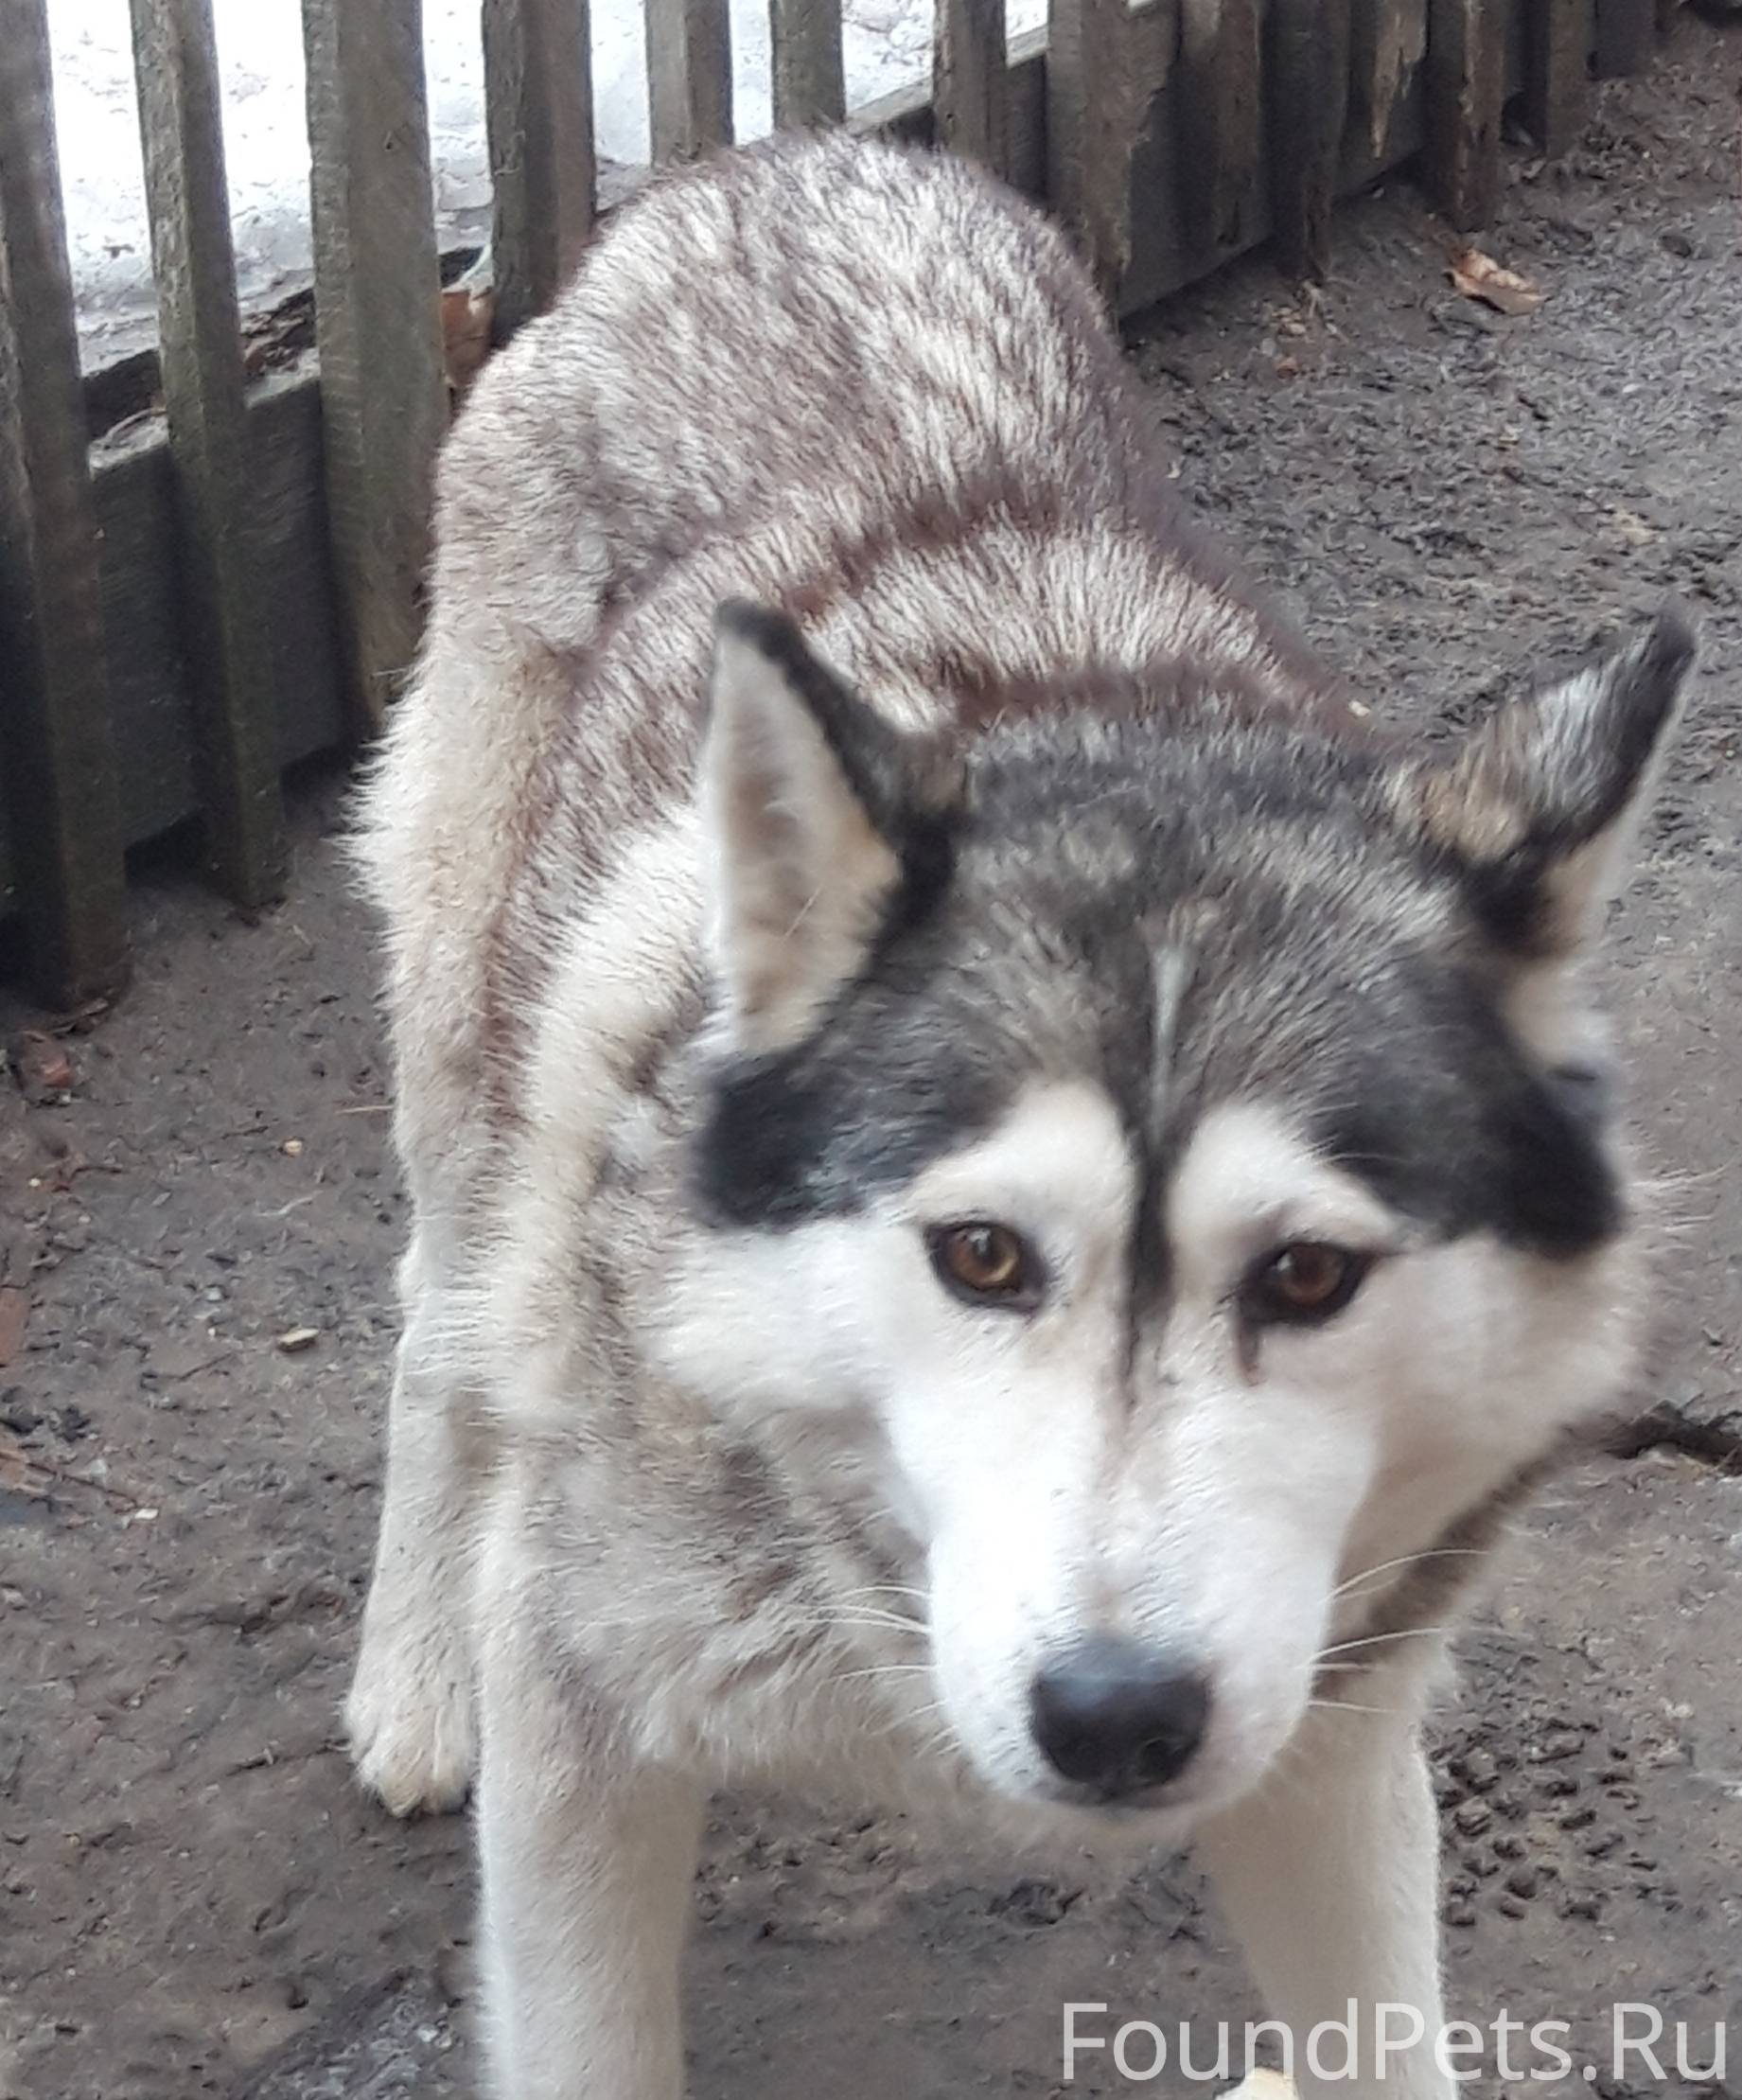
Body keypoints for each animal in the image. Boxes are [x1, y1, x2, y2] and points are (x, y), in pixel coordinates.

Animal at [348, 135, 1696, 2100]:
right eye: (980, 1254)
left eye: (1307, 1275)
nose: (1114, 1714)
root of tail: (794, 155)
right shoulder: (582, 1723)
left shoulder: (1326, 1745)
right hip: (470, 1054)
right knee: (438, 1320)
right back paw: (409, 1668)